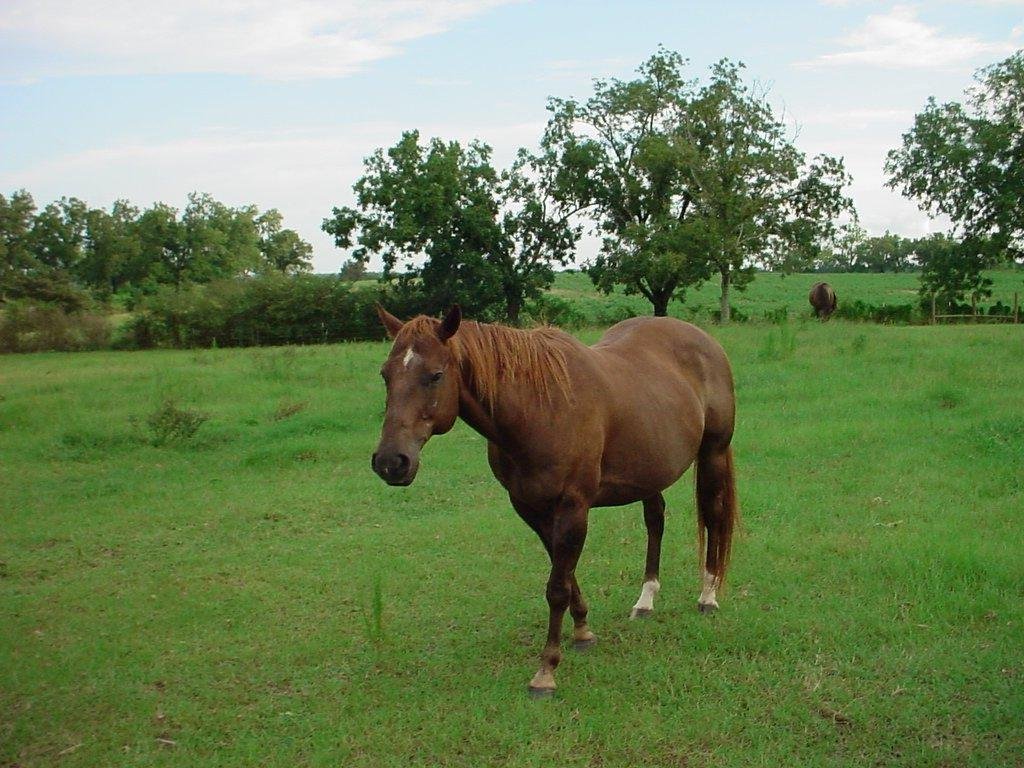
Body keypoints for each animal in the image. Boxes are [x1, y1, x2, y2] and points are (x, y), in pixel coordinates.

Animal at [371, 305, 738, 697]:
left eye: (435, 375)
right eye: (386, 375)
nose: (391, 461)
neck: (538, 409)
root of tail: (705, 341)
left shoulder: (572, 508)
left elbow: (557, 586)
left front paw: (546, 670)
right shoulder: (531, 509)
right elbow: (565, 573)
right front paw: (583, 632)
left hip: (713, 453)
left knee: (713, 514)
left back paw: (708, 595)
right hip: (648, 469)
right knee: (656, 520)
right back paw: (646, 600)